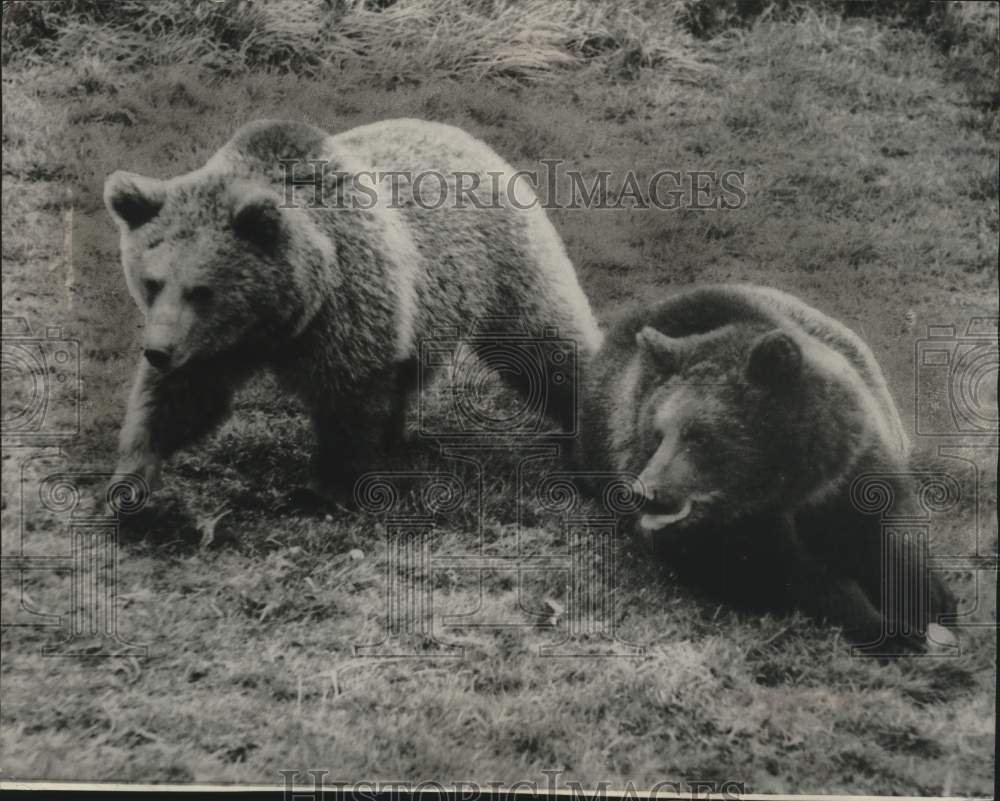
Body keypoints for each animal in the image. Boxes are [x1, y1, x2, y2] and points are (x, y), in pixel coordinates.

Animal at [104, 118, 602, 505]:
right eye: (152, 282)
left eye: (201, 290)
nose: (158, 351)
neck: (278, 319)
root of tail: (465, 135)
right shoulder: (214, 345)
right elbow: (180, 399)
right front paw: (131, 480)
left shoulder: (346, 304)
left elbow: (348, 396)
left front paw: (323, 489)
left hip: (503, 262)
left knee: (544, 345)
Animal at [576, 283, 957, 652]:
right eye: (658, 434)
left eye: (700, 436)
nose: (647, 493)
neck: (791, 484)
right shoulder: (728, 528)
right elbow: (776, 571)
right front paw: (887, 628)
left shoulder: (854, 462)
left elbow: (888, 532)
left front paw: (930, 604)